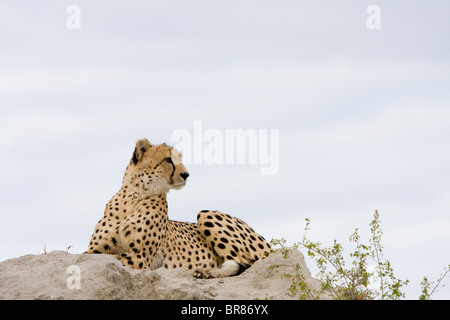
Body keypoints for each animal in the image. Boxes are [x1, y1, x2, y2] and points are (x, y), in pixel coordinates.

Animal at [87, 139, 270, 278]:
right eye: (168, 160)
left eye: (180, 160)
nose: (186, 174)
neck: (132, 197)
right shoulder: (96, 250)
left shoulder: (139, 257)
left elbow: (115, 258)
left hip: (206, 214)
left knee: (250, 264)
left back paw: (207, 271)